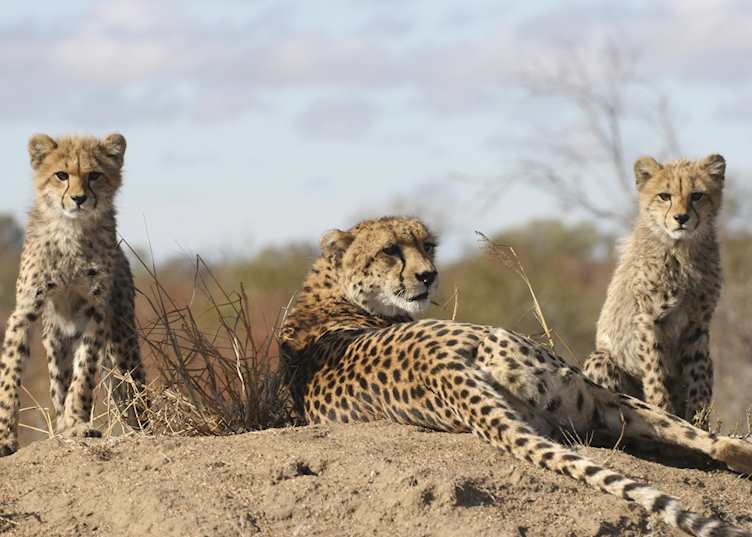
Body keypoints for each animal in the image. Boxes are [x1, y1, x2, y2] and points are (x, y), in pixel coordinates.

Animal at [0, 133, 146, 457]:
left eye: (94, 175)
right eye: (61, 175)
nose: (79, 199)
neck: (71, 230)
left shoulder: (97, 312)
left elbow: (84, 374)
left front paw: (78, 422)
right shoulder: (24, 312)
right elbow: (9, 376)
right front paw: (4, 437)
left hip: (123, 343)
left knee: (135, 392)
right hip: (55, 340)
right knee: (58, 382)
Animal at [279, 216, 752, 537]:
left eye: (428, 245)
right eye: (390, 250)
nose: (428, 275)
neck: (331, 289)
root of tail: (442, 363)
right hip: (580, 387)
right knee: (685, 431)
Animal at [583, 154, 725, 427]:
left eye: (697, 195)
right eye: (664, 196)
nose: (681, 218)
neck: (681, 251)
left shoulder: (698, 323)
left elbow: (699, 378)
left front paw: (699, 422)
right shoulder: (648, 319)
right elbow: (654, 372)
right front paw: (663, 411)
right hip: (600, 360)